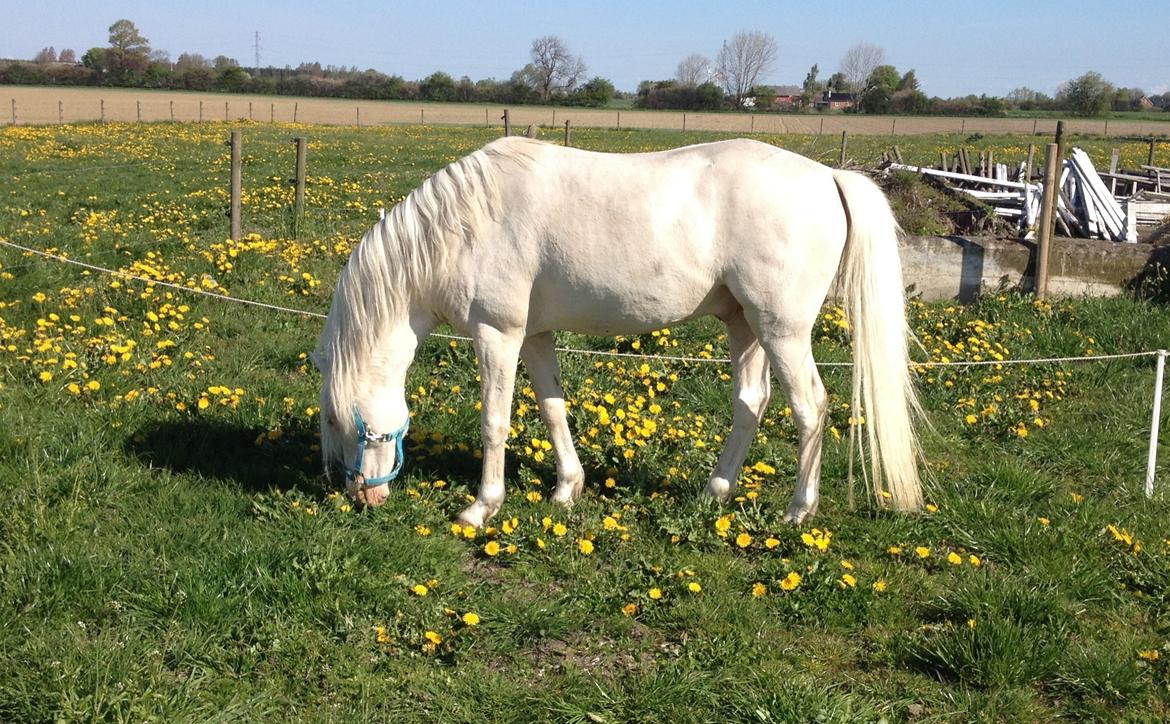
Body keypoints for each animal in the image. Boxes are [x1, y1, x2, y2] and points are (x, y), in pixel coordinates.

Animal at [311, 136, 922, 529]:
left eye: (336, 419)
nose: (360, 497)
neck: (463, 226)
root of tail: (828, 176)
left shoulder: (497, 334)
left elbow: (495, 422)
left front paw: (482, 507)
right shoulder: (534, 337)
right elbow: (552, 408)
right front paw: (566, 489)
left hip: (782, 330)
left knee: (809, 407)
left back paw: (799, 510)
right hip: (744, 324)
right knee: (751, 403)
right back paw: (714, 492)